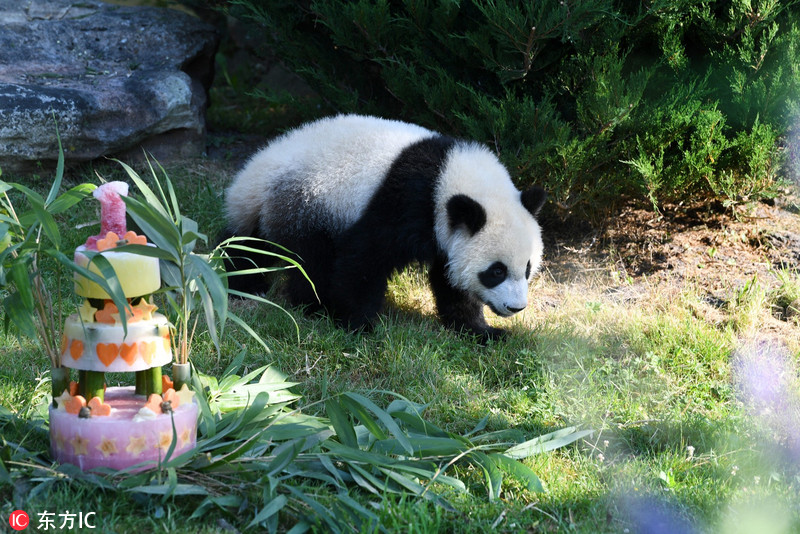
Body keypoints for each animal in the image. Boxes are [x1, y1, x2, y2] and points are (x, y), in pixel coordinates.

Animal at [222, 115, 548, 342]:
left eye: (528, 269)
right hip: (307, 200)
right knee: (310, 259)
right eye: (496, 271)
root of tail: (260, 165)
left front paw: (482, 331)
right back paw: (309, 304)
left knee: (249, 241)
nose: (516, 307)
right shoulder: (408, 199)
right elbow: (366, 257)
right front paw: (359, 325)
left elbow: (452, 282)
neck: (450, 174)